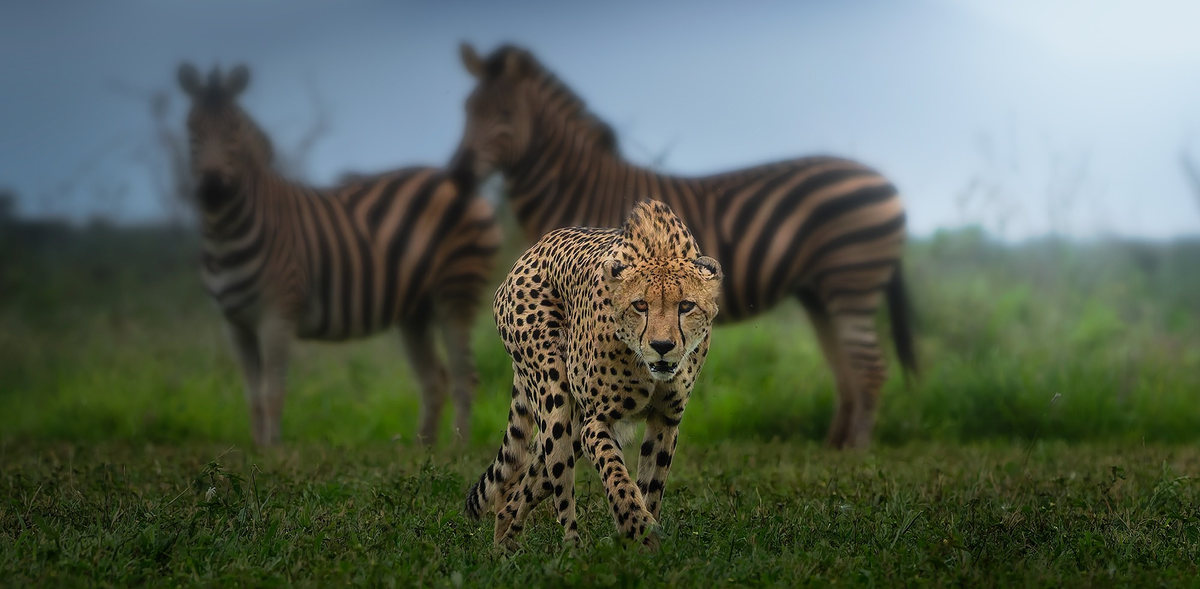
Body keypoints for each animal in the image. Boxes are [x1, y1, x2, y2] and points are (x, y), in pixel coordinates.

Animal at [464, 199, 723, 550]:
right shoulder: (597, 421)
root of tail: (529, 253)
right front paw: (637, 527)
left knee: (520, 490)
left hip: (569, 429)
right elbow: (617, 477)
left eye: (686, 306)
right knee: (560, 490)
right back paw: (572, 550)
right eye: (640, 305)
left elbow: (650, 486)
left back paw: (504, 547)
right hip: (557, 408)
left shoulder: (666, 421)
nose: (662, 346)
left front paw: (650, 544)